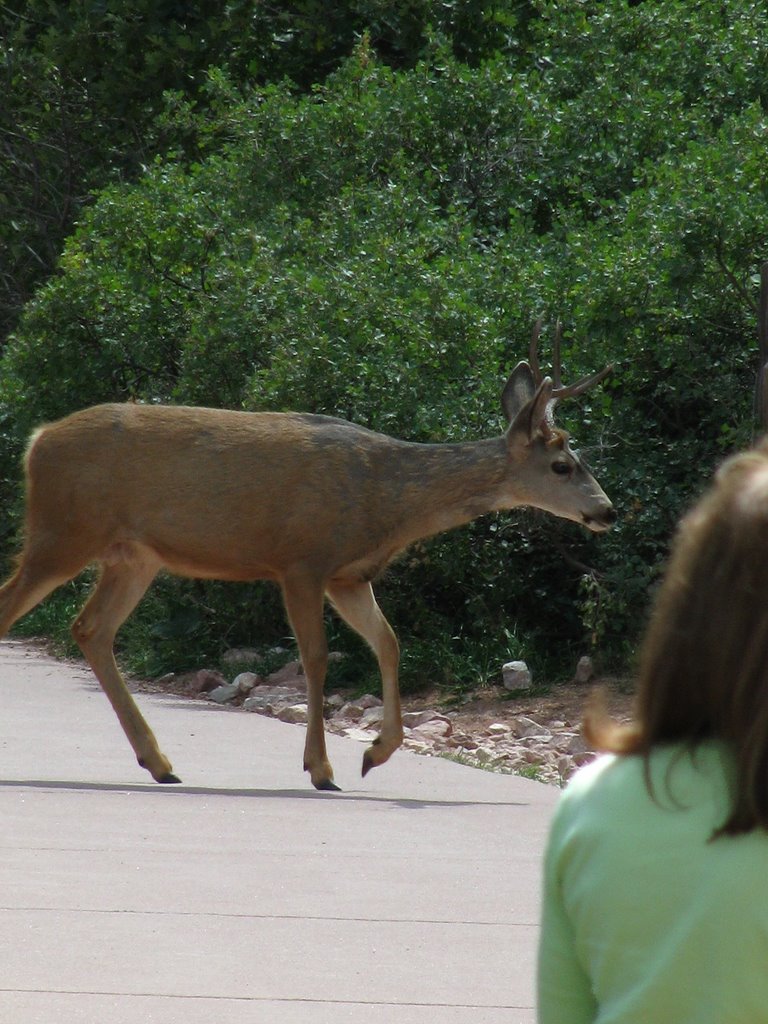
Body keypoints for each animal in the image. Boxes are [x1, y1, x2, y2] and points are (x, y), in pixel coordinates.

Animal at [0, 323, 614, 786]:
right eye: (562, 465)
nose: (607, 511)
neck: (386, 499)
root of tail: (36, 441)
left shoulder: (349, 575)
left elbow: (388, 643)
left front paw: (375, 752)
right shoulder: (301, 561)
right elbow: (316, 658)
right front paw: (321, 767)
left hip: (133, 555)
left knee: (91, 628)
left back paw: (160, 762)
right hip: (63, 532)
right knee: (17, 606)